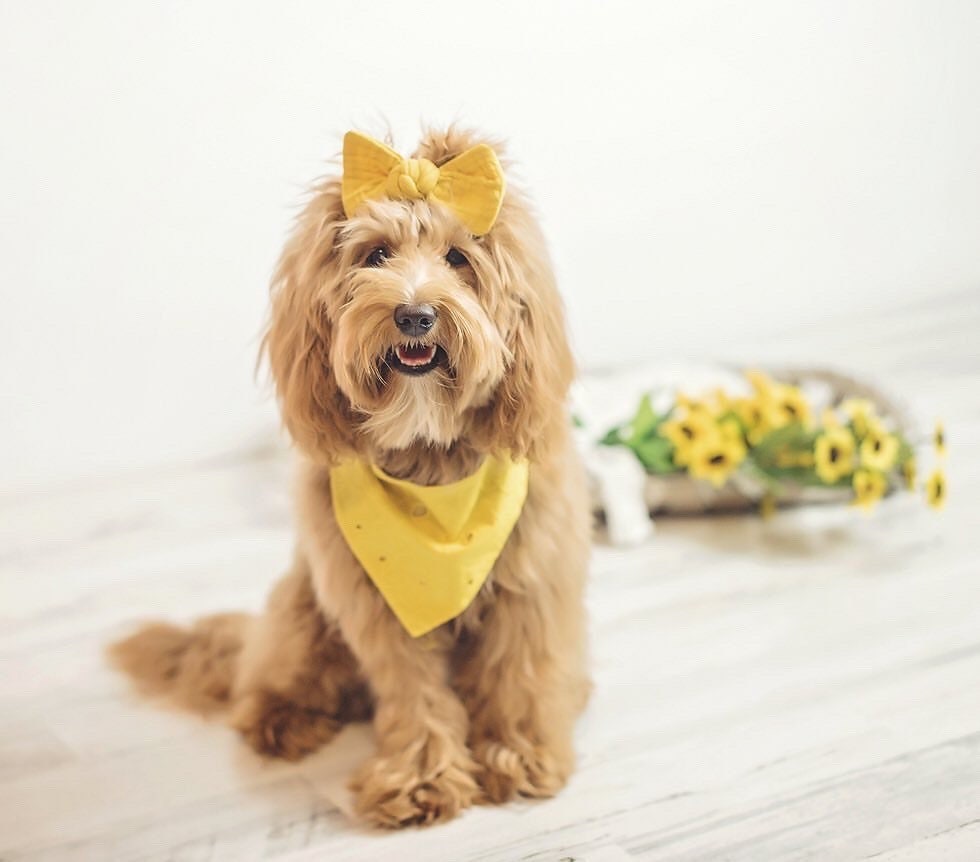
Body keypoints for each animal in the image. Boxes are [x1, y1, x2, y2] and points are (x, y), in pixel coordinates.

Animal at [111, 128, 592, 832]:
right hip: (303, 611)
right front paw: (421, 778)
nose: (415, 315)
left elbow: (517, 676)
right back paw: (282, 719)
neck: (430, 464)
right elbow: (413, 692)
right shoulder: (376, 604)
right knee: (266, 682)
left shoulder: (529, 585)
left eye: (458, 258)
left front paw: (518, 754)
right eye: (376, 255)